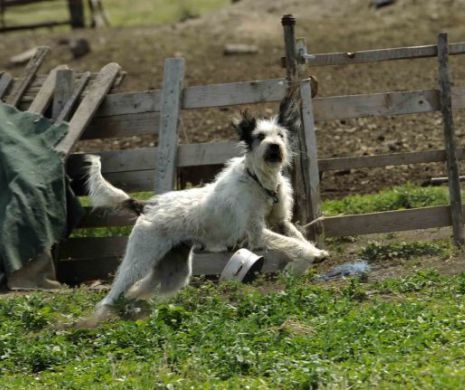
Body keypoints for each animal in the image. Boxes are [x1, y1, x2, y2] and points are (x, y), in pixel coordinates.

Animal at [85, 90, 328, 322]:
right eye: (260, 136)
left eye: (281, 135)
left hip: (174, 271)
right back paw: (94, 322)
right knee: (110, 297)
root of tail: (146, 205)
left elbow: (296, 235)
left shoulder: (280, 221)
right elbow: (291, 242)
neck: (259, 180)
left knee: (134, 291)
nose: (275, 147)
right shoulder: (256, 234)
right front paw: (311, 252)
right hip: (139, 260)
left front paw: (316, 251)